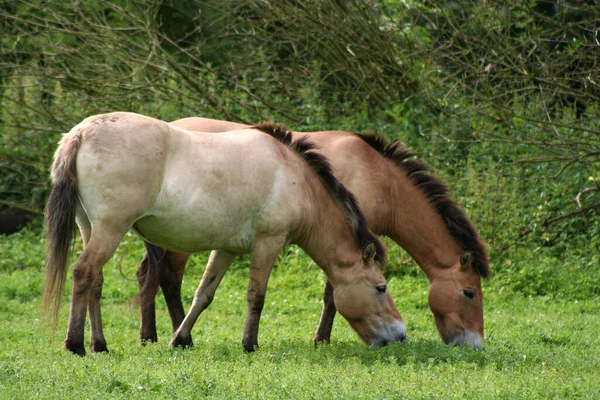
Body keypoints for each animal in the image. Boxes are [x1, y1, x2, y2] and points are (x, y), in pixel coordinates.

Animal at [43, 111, 408, 354]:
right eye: (381, 287)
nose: (400, 335)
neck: (297, 178)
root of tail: (81, 133)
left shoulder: (227, 249)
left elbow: (203, 294)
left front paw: (180, 339)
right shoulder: (268, 243)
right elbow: (256, 297)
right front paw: (250, 344)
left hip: (89, 228)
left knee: (96, 281)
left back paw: (99, 344)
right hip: (110, 229)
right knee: (83, 272)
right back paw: (75, 344)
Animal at [137, 115, 492, 346]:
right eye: (469, 293)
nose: (474, 344)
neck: (378, 177)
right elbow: (332, 296)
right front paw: (321, 338)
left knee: (149, 276)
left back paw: (152, 335)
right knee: (169, 280)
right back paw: (176, 336)